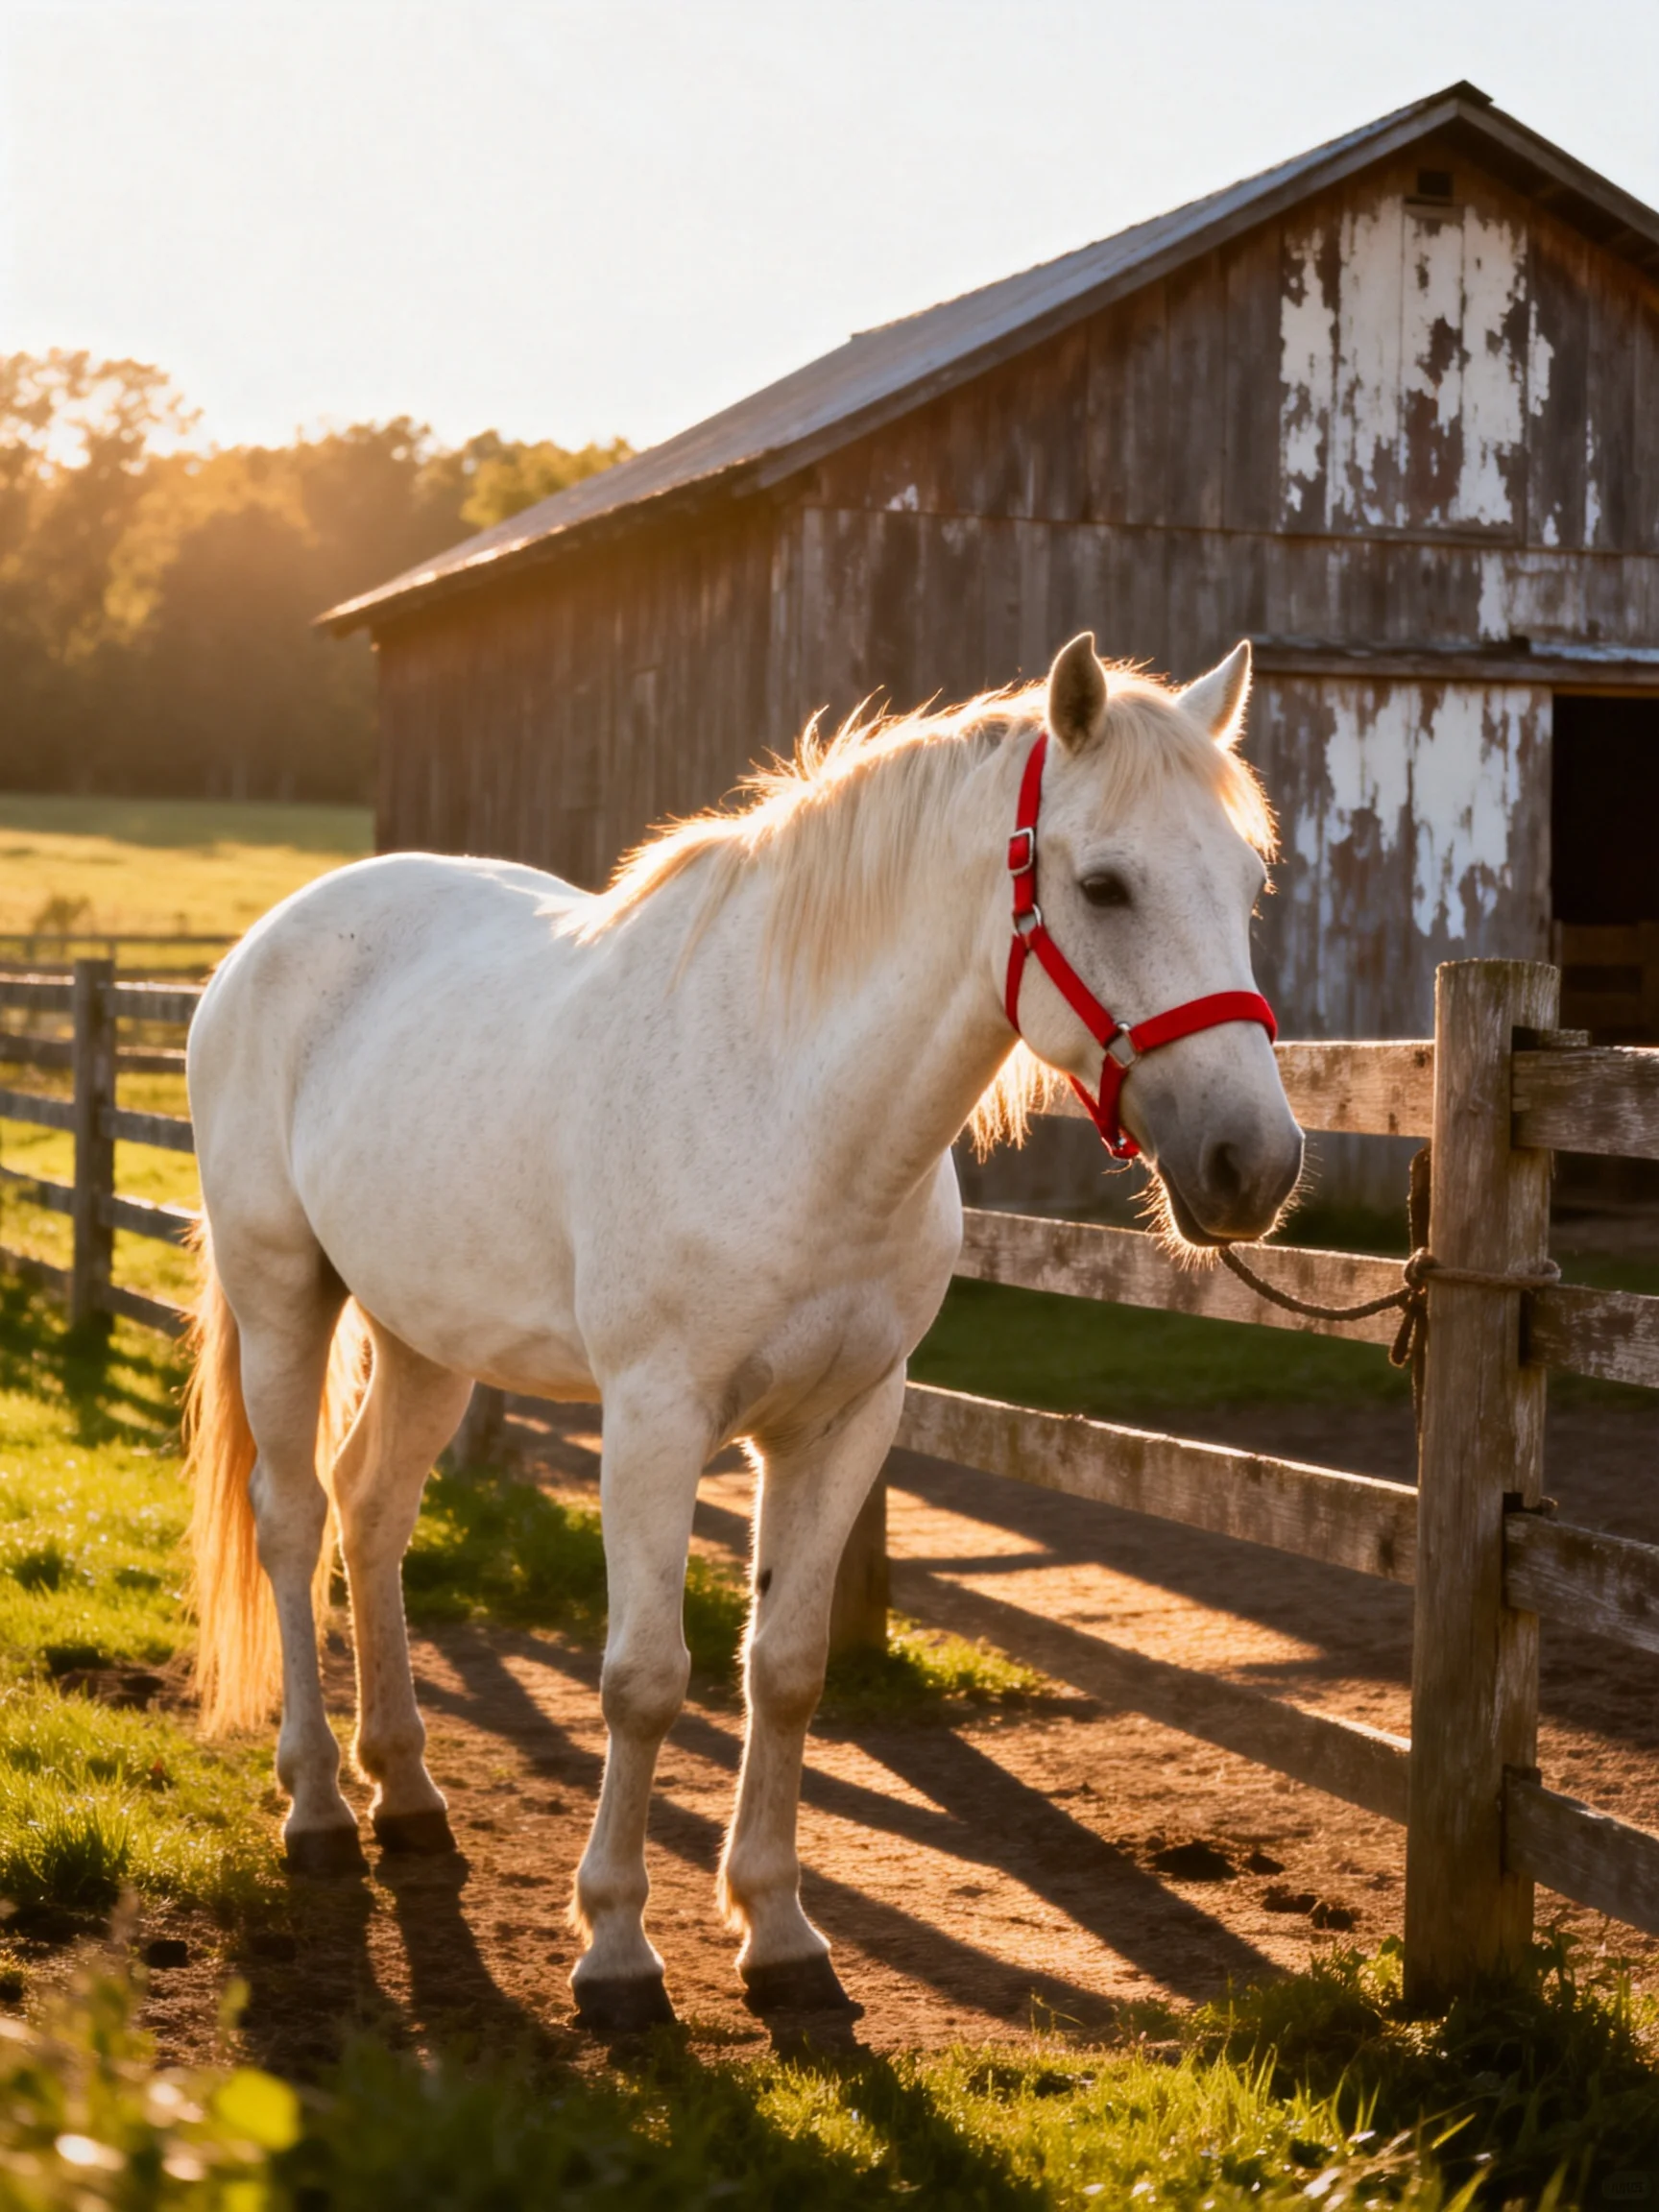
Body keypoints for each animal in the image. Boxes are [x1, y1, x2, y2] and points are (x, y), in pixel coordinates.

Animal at [183, 630, 1303, 2031]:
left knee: (369, 1511)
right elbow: (643, 1679)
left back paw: (410, 1796)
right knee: (289, 1521)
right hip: (281, 1291)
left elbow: (787, 1666)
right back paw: (323, 1809)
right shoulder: (656, 1423)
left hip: (423, 1334)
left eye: (1247, 883)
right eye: (1103, 886)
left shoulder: (842, 1423)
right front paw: (616, 1950)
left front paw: (779, 1936)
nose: (1254, 1165)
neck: (796, 1104)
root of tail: (259, 948)